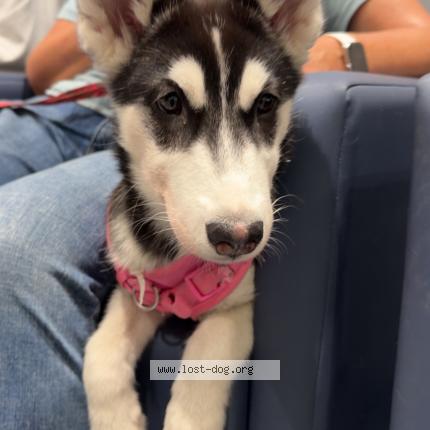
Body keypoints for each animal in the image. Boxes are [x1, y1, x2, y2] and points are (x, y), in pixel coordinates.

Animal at [77, 0, 322, 429]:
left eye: (266, 103)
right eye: (171, 102)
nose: (239, 238)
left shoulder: (239, 304)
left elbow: (205, 357)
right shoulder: (140, 287)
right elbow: (98, 355)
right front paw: (118, 417)